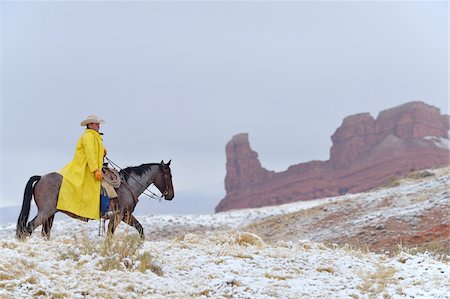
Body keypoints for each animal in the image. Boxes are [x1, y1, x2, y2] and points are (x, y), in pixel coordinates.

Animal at [15, 161, 174, 240]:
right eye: (169, 175)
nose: (171, 195)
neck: (127, 185)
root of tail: (41, 177)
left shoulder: (126, 215)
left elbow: (140, 229)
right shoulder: (117, 216)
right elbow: (110, 234)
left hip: (50, 214)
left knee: (45, 232)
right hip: (45, 212)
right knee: (28, 227)